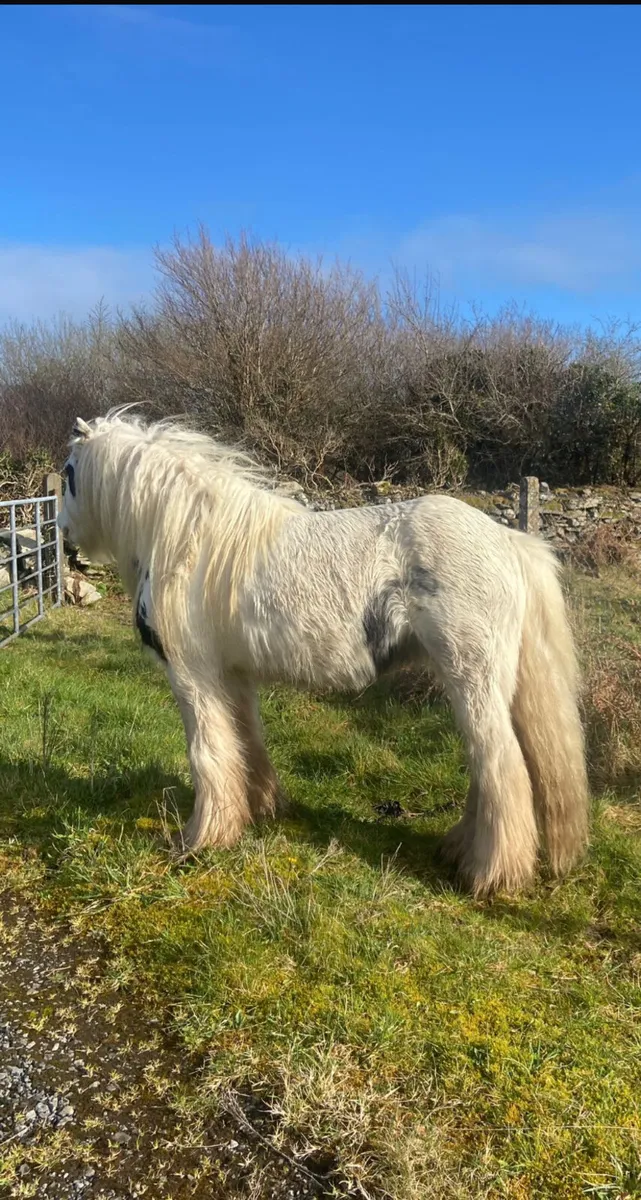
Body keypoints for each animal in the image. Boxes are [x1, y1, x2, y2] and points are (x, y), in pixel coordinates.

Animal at [58, 412, 589, 896]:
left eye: (67, 473)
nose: (62, 541)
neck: (191, 542)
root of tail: (510, 541)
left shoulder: (193, 677)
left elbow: (207, 752)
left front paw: (201, 838)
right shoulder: (233, 676)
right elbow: (245, 740)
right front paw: (259, 808)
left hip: (471, 678)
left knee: (500, 765)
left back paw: (490, 874)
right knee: (491, 765)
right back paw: (462, 850)